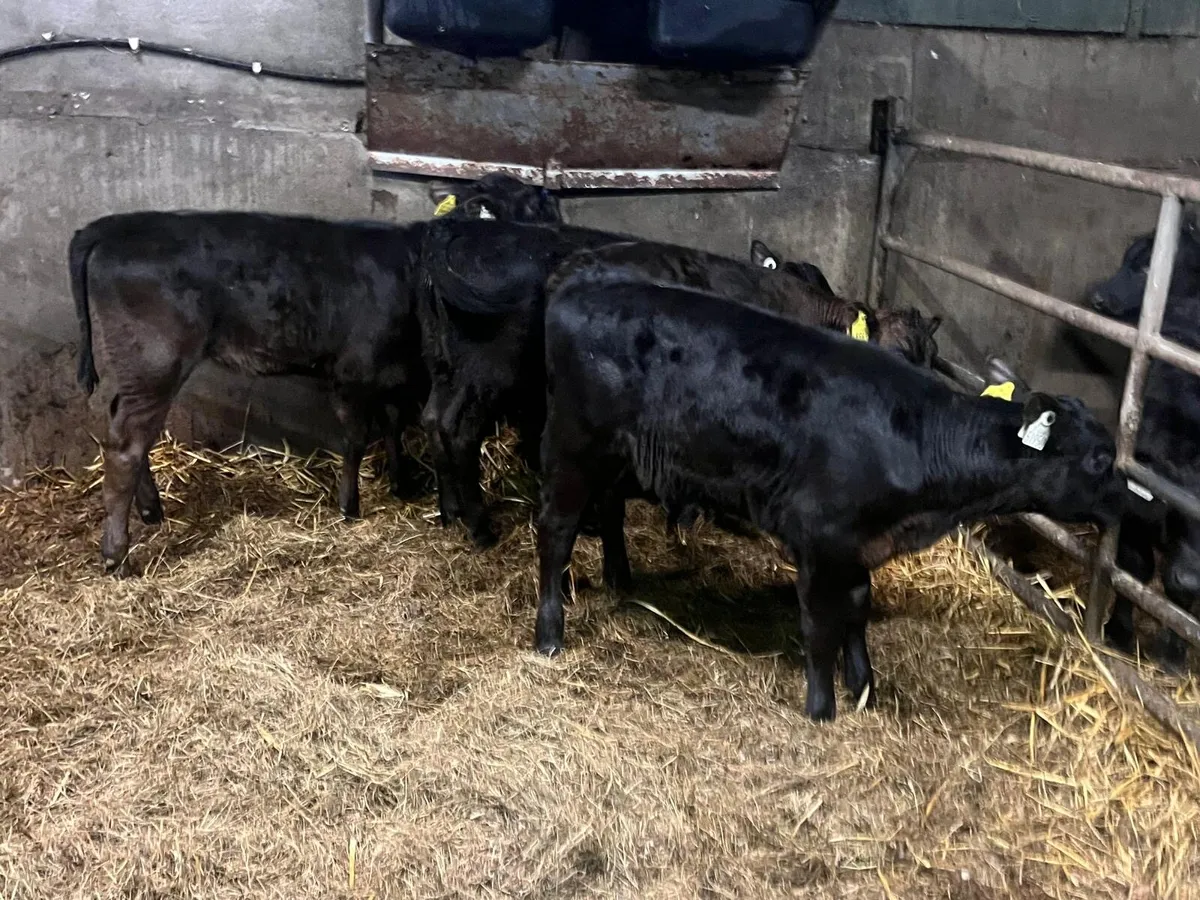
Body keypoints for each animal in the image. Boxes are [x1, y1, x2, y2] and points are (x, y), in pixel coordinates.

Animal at [70, 176, 559, 576]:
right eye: (529, 210)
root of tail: (111, 227)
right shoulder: (352, 371)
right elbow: (356, 439)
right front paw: (350, 506)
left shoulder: (391, 371)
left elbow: (394, 424)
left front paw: (401, 484)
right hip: (155, 363)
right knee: (127, 445)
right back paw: (117, 554)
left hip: (133, 370)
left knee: (123, 432)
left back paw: (150, 511)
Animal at [419, 219, 943, 547]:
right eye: (894, 356)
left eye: (930, 359)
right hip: (491, 373)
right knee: (460, 433)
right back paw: (481, 528)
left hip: (449, 368)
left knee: (434, 420)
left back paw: (451, 513)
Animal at [534, 275, 1125, 721]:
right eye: (1100, 459)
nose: (1126, 501)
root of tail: (574, 291)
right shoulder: (819, 539)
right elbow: (820, 623)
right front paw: (821, 707)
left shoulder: (861, 545)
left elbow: (858, 609)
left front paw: (863, 685)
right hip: (573, 446)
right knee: (556, 531)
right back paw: (549, 632)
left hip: (618, 457)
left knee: (607, 509)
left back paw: (619, 578)